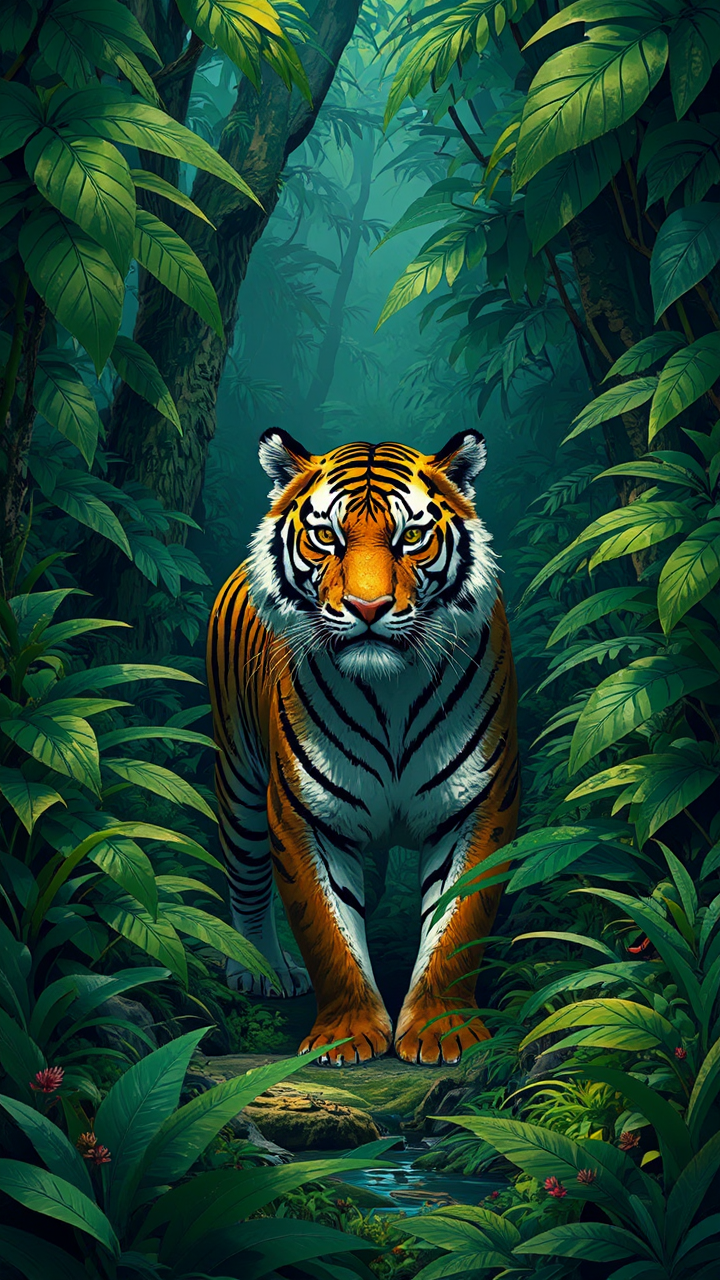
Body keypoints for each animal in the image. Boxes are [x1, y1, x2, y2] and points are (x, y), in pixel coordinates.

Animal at [207, 427, 519, 1066]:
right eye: (327, 536)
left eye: (412, 537)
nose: (369, 608)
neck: (390, 691)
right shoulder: (304, 815)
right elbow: (327, 932)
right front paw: (346, 1036)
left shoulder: (478, 803)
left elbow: (458, 925)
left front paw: (441, 1034)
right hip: (240, 784)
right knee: (246, 879)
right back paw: (262, 972)